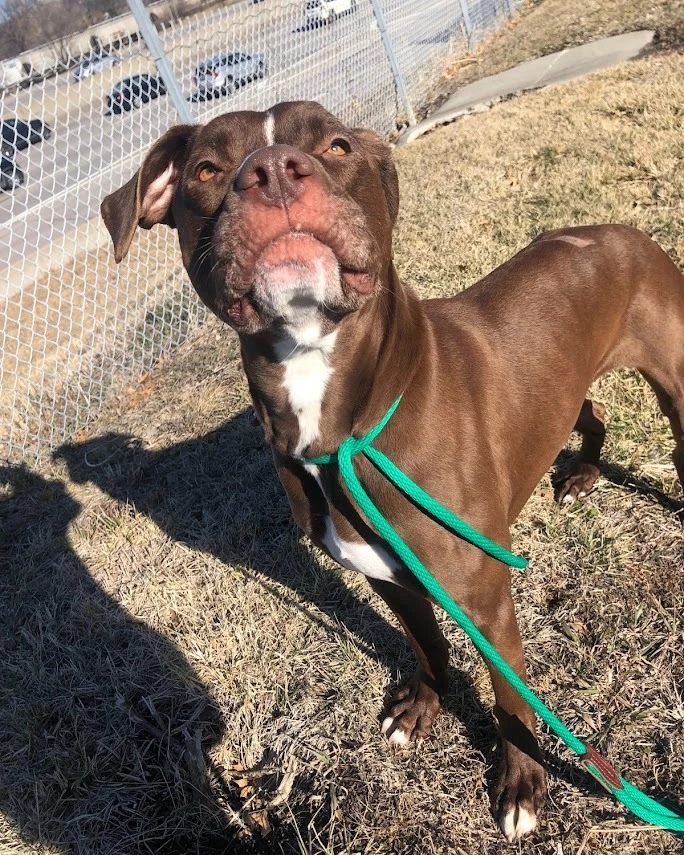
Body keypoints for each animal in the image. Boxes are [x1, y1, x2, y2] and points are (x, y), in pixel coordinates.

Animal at [101, 102, 684, 844]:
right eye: (207, 168)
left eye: (335, 145)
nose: (272, 170)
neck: (344, 415)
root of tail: (617, 229)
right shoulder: (384, 572)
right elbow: (426, 641)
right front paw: (422, 706)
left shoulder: (483, 595)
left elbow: (510, 695)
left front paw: (522, 784)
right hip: (565, 384)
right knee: (593, 406)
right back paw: (583, 471)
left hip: (674, 379)